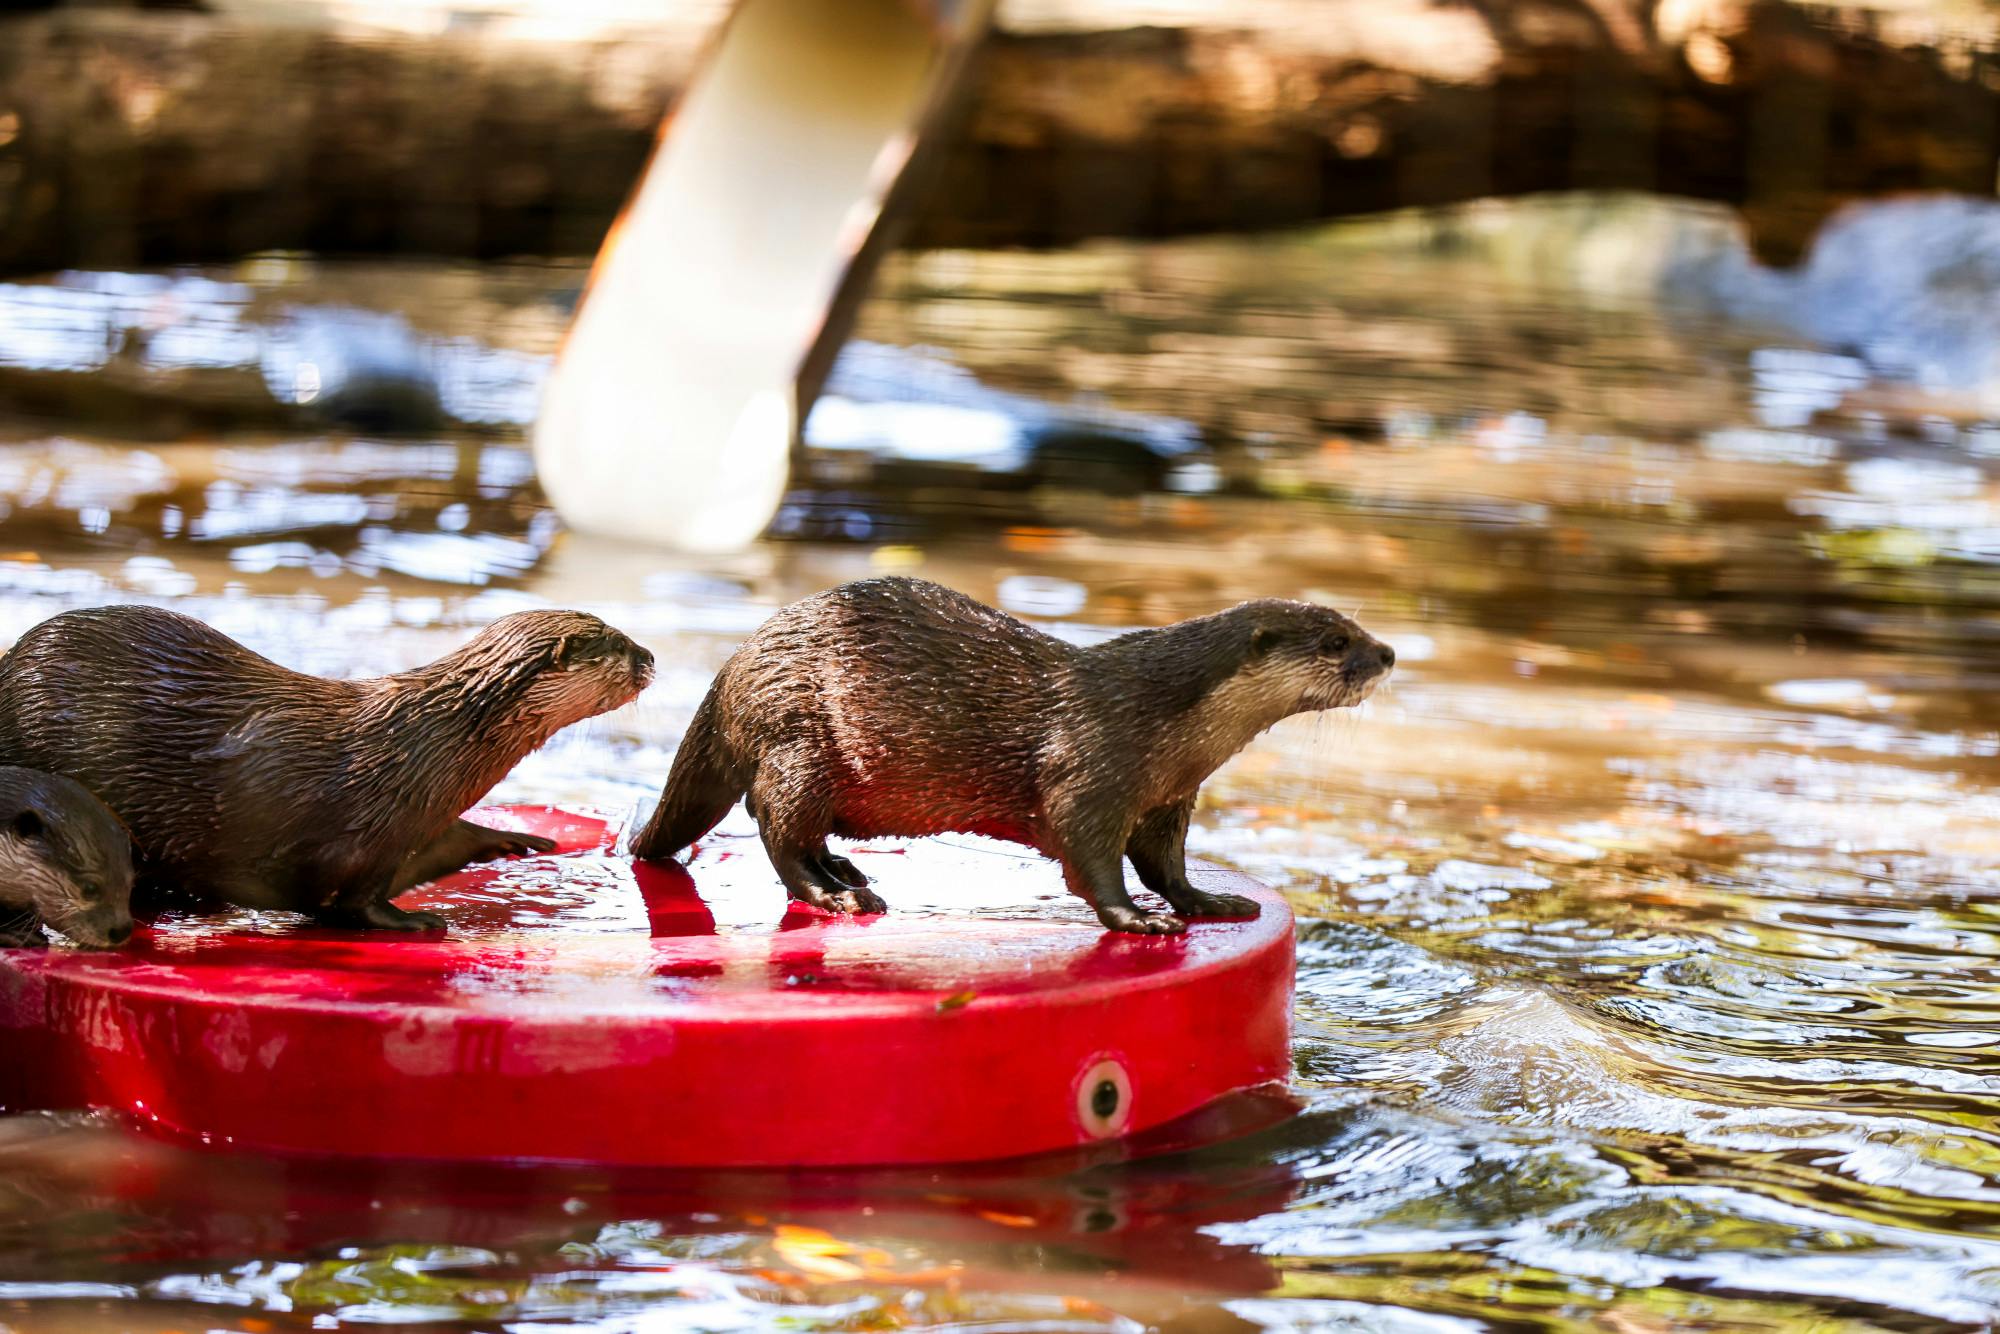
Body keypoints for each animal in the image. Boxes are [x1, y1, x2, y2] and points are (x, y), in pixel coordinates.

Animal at [633, 577, 1394, 934]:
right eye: (1335, 641)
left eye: (1357, 625)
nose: (1386, 653)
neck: (1160, 721)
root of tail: (735, 668)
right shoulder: (1089, 771)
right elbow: (1092, 863)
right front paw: (1138, 919)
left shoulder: (1169, 798)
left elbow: (1167, 865)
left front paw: (1209, 900)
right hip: (800, 740)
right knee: (776, 824)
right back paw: (835, 895)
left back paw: (844, 870)